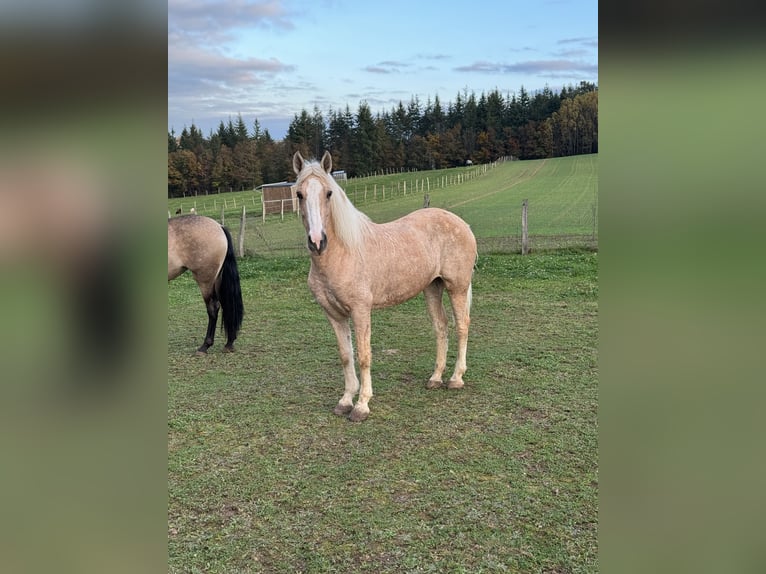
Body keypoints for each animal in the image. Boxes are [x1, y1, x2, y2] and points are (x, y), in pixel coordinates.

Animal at [296, 152, 480, 424]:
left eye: (328, 193)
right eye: (299, 194)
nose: (317, 241)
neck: (343, 253)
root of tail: (462, 224)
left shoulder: (361, 311)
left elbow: (363, 356)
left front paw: (361, 406)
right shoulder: (334, 314)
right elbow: (345, 355)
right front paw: (344, 401)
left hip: (457, 287)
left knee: (462, 326)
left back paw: (456, 379)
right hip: (432, 288)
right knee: (441, 327)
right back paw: (435, 378)